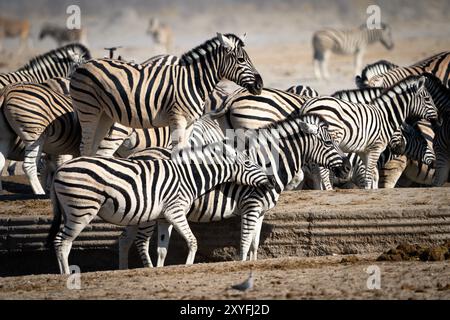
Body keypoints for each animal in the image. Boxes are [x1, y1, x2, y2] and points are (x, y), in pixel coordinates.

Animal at [46, 141, 274, 274]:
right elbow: (193, 241)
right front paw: (187, 266)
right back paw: (65, 275)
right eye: (248, 163)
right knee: (62, 242)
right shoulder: (176, 210)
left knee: (62, 241)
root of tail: (59, 171)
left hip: (72, 211)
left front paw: (159, 268)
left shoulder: (164, 217)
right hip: (81, 209)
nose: (270, 181)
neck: (189, 177)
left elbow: (163, 248)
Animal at [70, 33, 264, 157]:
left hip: (105, 114)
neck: (193, 81)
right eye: (241, 59)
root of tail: (82, 65)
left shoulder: (189, 123)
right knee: (86, 146)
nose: (260, 85)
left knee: (94, 149)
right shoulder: (177, 119)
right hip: (88, 109)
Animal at [118, 112, 350, 268]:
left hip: (136, 210)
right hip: (148, 210)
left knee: (125, 239)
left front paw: (253, 264)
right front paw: (242, 266)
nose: (347, 168)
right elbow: (245, 243)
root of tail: (135, 156)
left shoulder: (261, 211)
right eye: (328, 142)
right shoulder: (251, 205)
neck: (269, 163)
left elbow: (254, 245)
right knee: (139, 241)